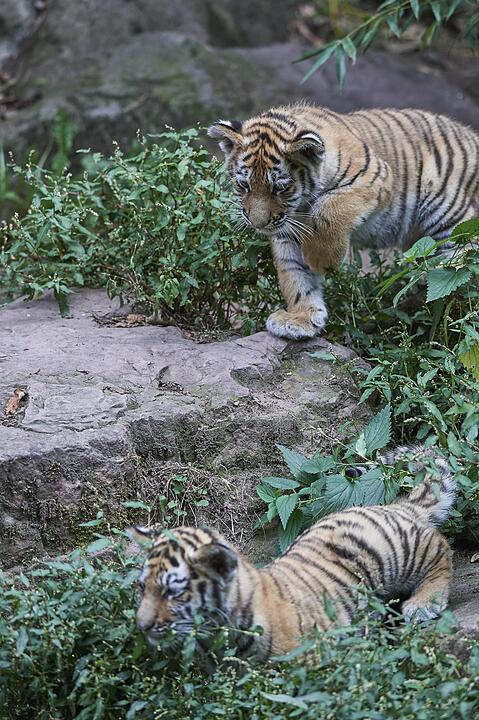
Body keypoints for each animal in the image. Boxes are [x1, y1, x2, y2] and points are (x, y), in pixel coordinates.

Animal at [128, 446, 455, 661]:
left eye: (172, 593)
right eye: (142, 588)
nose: (141, 627)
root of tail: (393, 505)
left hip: (398, 549)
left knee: (440, 547)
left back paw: (423, 604)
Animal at [208, 104, 479, 340]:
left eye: (279, 188)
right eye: (244, 185)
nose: (258, 224)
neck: (300, 207)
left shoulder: (376, 178)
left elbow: (330, 208)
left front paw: (321, 260)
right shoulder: (286, 230)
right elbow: (293, 274)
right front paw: (300, 318)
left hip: (448, 212)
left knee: (463, 263)